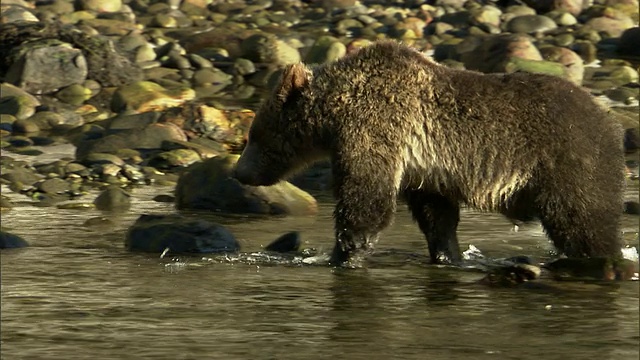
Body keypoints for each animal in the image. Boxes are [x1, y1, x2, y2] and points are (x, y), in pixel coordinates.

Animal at [232, 40, 624, 268]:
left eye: (254, 135)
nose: (239, 172)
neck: (335, 111)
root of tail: (608, 118)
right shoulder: (425, 170)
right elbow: (437, 215)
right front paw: (447, 253)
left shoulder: (375, 128)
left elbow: (366, 199)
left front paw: (343, 253)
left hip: (568, 159)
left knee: (583, 218)